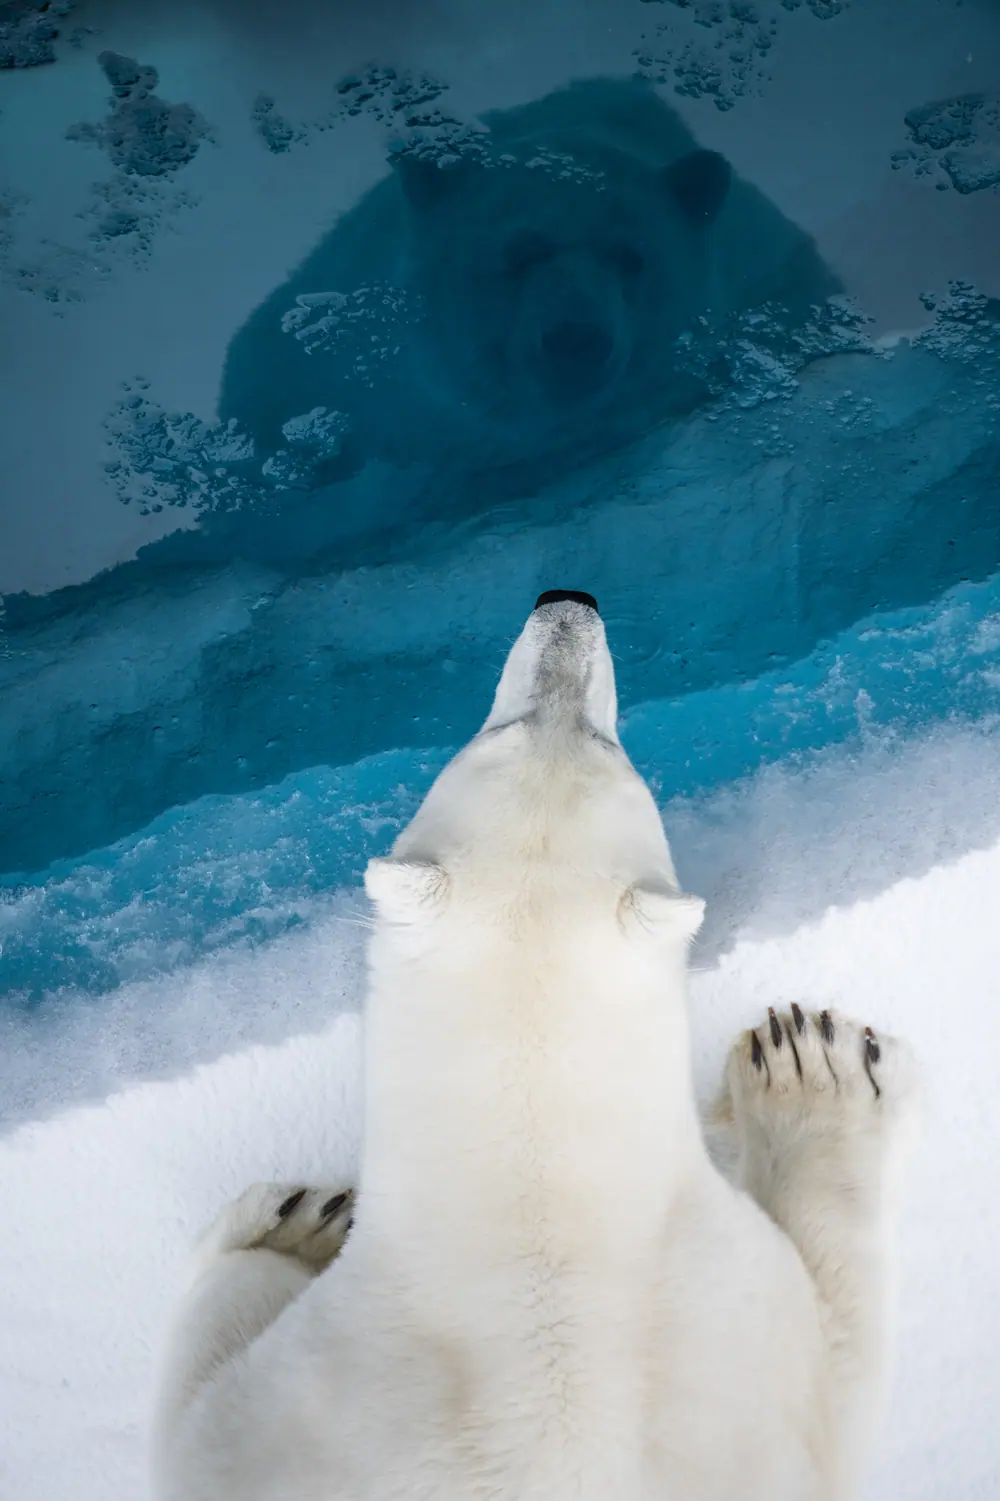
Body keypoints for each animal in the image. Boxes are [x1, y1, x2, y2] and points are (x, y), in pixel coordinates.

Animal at [152, 591, 917, 1501]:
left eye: (600, 737)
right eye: (509, 724)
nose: (568, 602)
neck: (537, 1195)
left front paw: (809, 1060)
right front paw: (290, 1222)